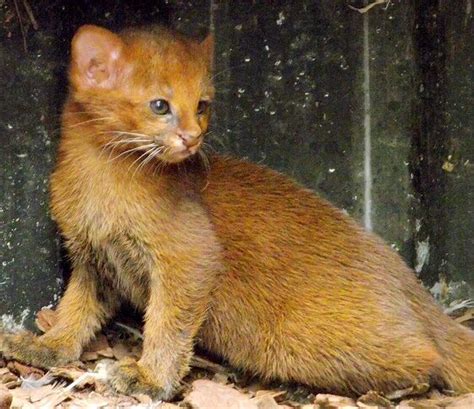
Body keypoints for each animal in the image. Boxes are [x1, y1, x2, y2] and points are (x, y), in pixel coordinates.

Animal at [0, 23, 474, 398]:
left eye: (202, 104)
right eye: (160, 104)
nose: (192, 138)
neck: (99, 186)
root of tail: (418, 294)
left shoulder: (190, 256)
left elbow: (167, 325)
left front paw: (148, 379)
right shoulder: (93, 258)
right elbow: (76, 311)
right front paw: (44, 347)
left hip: (304, 341)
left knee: (430, 356)